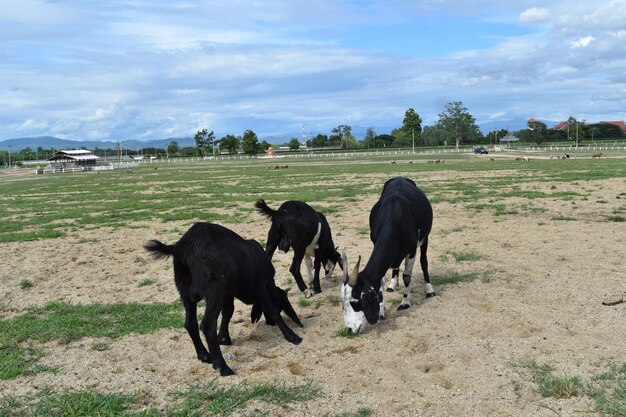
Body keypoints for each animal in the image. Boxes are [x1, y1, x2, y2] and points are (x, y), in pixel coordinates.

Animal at [146, 223, 302, 376]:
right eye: (282, 304)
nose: (270, 324)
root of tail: (182, 246)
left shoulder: (228, 294)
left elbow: (228, 312)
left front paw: (223, 338)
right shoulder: (261, 288)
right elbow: (273, 310)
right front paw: (292, 336)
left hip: (185, 292)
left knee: (190, 324)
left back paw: (204, 355)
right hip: (215, 290)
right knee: (208, 325)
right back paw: (223, 367)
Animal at [338, 177, 432, 334]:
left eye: (355, 302)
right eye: (343, 302)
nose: (349, 329)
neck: (393, 215)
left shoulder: (412, 250)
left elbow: (407, 276)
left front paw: (405, 302)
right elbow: (381, 280)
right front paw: (381, 310)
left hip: (425, 238)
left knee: (424, 261)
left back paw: (429, 289)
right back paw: (393, 284)